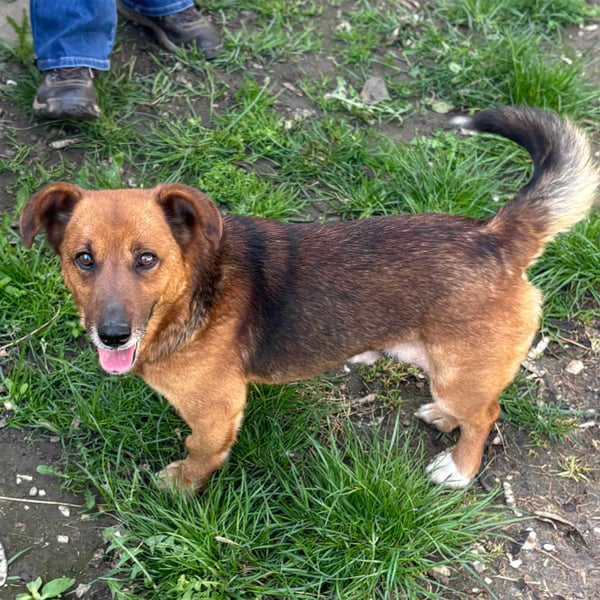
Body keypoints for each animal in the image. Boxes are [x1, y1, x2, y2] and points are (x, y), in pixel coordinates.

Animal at [20, 106, 598, 494]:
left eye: (147, 260)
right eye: (83, 259)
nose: (112, 335)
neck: (192, 294)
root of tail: (496, 236)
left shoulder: (216, 413)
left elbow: (199, 453)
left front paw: (180, 487)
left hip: (460, 374)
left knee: (486, 413)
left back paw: (458, 469)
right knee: (474, 406)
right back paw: (442, 418)